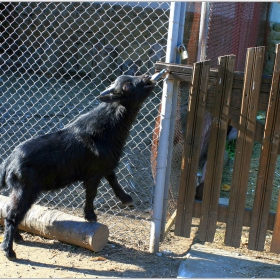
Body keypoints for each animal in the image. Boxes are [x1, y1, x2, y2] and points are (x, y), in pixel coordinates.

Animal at [0, 73, 155, 260]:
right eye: (126, 87)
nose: (147, 77)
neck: (107, 127)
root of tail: (9, 161)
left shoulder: (105, 164)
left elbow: (113, 178)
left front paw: (126, 199)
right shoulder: (93, 173)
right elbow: (92, 193)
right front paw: (91, 216)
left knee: (11, 212)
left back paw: (17, 239)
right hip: (25, 189)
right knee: (12, 215)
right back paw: (9, 251)